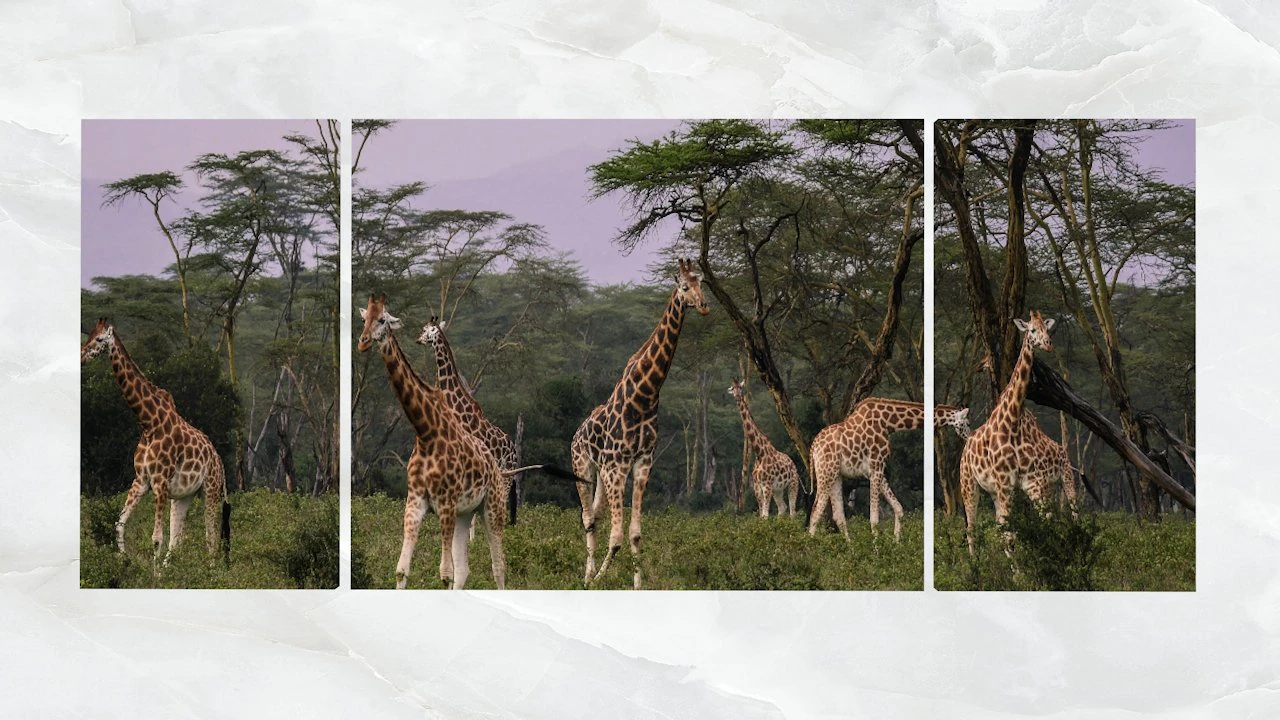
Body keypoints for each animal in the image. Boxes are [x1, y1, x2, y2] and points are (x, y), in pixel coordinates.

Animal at [80, 319, 230, 564]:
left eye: (99, 339)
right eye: (89, 335)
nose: (81, 356)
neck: (149, 423)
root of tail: (220, 461)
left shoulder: (160, 482)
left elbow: (156, 538)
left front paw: (153, 572)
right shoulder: (141, 480)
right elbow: (119, 525)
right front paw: (125, 562)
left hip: (211, 490)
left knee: (211, 537)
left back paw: (210, 570)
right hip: (184, 496)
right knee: (177, 539)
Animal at [573, 258, 710, 589]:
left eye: (701, 282)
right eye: (683, 286)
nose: (703, 306)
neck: (645, 395)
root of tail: (577, 432)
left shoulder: (643, 462)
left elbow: (634, 534)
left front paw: (637, 585)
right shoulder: (618, 466)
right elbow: (617, 536)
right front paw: (599, 578)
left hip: (601, 473)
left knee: (595, 517)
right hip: (583, 467)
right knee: (587, 518)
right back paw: (586, 577)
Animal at [728, 379, 799, 518]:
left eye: (740, 387)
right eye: (733, 388)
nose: (738, 396)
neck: (759, 452)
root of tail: (793, 463)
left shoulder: (767, 485)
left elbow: (765, 515)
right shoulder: (758, 487)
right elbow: (762, 514)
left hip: (793, 483)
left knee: (792, 510)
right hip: (778, 489)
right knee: (782, 508)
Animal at [808, 399, 970, 541]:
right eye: (967, 423)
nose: (969, 437)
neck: (888, 423)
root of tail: (813, 448)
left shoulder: (875, 469)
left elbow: (899, 508)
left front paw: (896, 543)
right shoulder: (876, 465)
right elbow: (874, 518)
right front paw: (877, 549)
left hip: (835, 475)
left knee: (837, 515)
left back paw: (850, 547)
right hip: (826, 472)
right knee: (815, 511)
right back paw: (810, 548)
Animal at [959, 311, 1057, 557]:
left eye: (1047, 329)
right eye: (1032, 330)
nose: (1048, 344)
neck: (1013, 423)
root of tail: (966, 445)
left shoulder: (1027, 483)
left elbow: (1041, 523)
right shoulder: (1004, 483)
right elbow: (1009, 534)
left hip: (994, 491)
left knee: (996, 524)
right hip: (968, 484)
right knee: (971, 528)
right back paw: (973, 564)